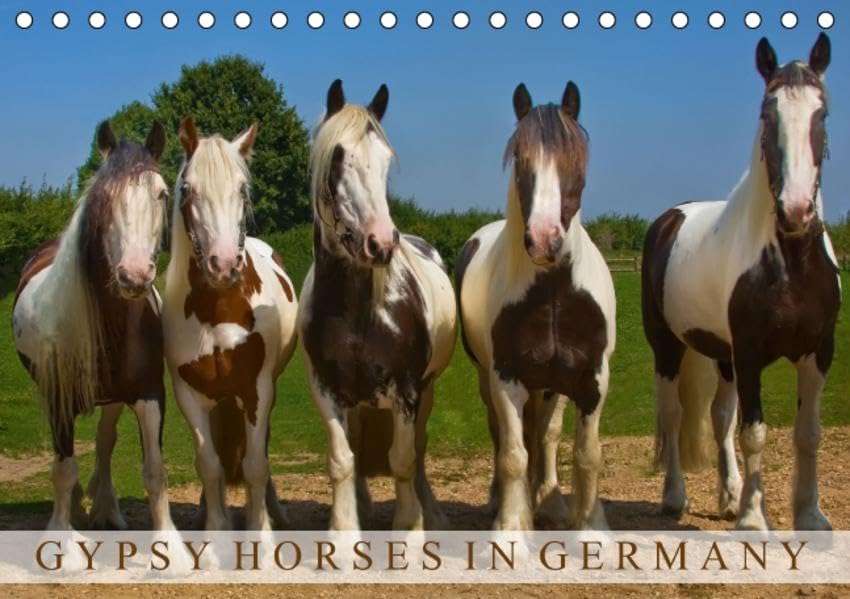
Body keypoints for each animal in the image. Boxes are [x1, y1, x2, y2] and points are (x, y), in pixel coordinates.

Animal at [12, 121, 174, 531]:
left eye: (162, 193)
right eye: (105, 198)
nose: (135, 275)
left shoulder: (150, 392)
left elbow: (154, 471)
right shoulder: (59, 397)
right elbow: (64, 468)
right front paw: (62, 533)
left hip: (113, 398)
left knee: (104, 441)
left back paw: (108, 509)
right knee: (66, 457)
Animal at [163, 117, 298, 531]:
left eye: (243, 188)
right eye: (188, 189)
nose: (223, 265)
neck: (218, 310)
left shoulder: (258, 390)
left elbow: (255, 465)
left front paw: (261, 531)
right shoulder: (189, 395)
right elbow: (209, 465)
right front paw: (216, 529)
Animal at [298, 80, 456, 531]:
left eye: (385, 161)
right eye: (337, 159)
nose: (382, 243)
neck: (358, 313)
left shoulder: (407, 392)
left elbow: (403, 460)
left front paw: (410, 528)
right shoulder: (325, 390)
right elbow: (341, 460)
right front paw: (344, 531)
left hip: (428, 390)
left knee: (418, 449)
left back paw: (432, 513)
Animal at [456, 82, 616, 531]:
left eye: (575, 159)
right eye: (521, 160)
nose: (544, 240)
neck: (554, 294)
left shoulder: (593, 380)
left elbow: (586, 455)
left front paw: (592, 527)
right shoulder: (506, 377)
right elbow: (513, 455)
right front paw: (511, 526)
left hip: (553, 386)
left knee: (546, 436)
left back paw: (551, 501)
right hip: (490, 379)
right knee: (506, 436)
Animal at [641, 34, 839, 531]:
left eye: (822, 113)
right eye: (767, 115)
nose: (795, 211)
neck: (789, 264)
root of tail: (670, 218)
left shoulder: (818, 352)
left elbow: (808, 433)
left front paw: (809, 515)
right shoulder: (750, 353)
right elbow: (755, 434)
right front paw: (753, 518)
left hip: (721, 354)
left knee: (719, 416)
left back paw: (728, 496)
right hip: (668, 347)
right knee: (674, 415)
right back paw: (675, 497)